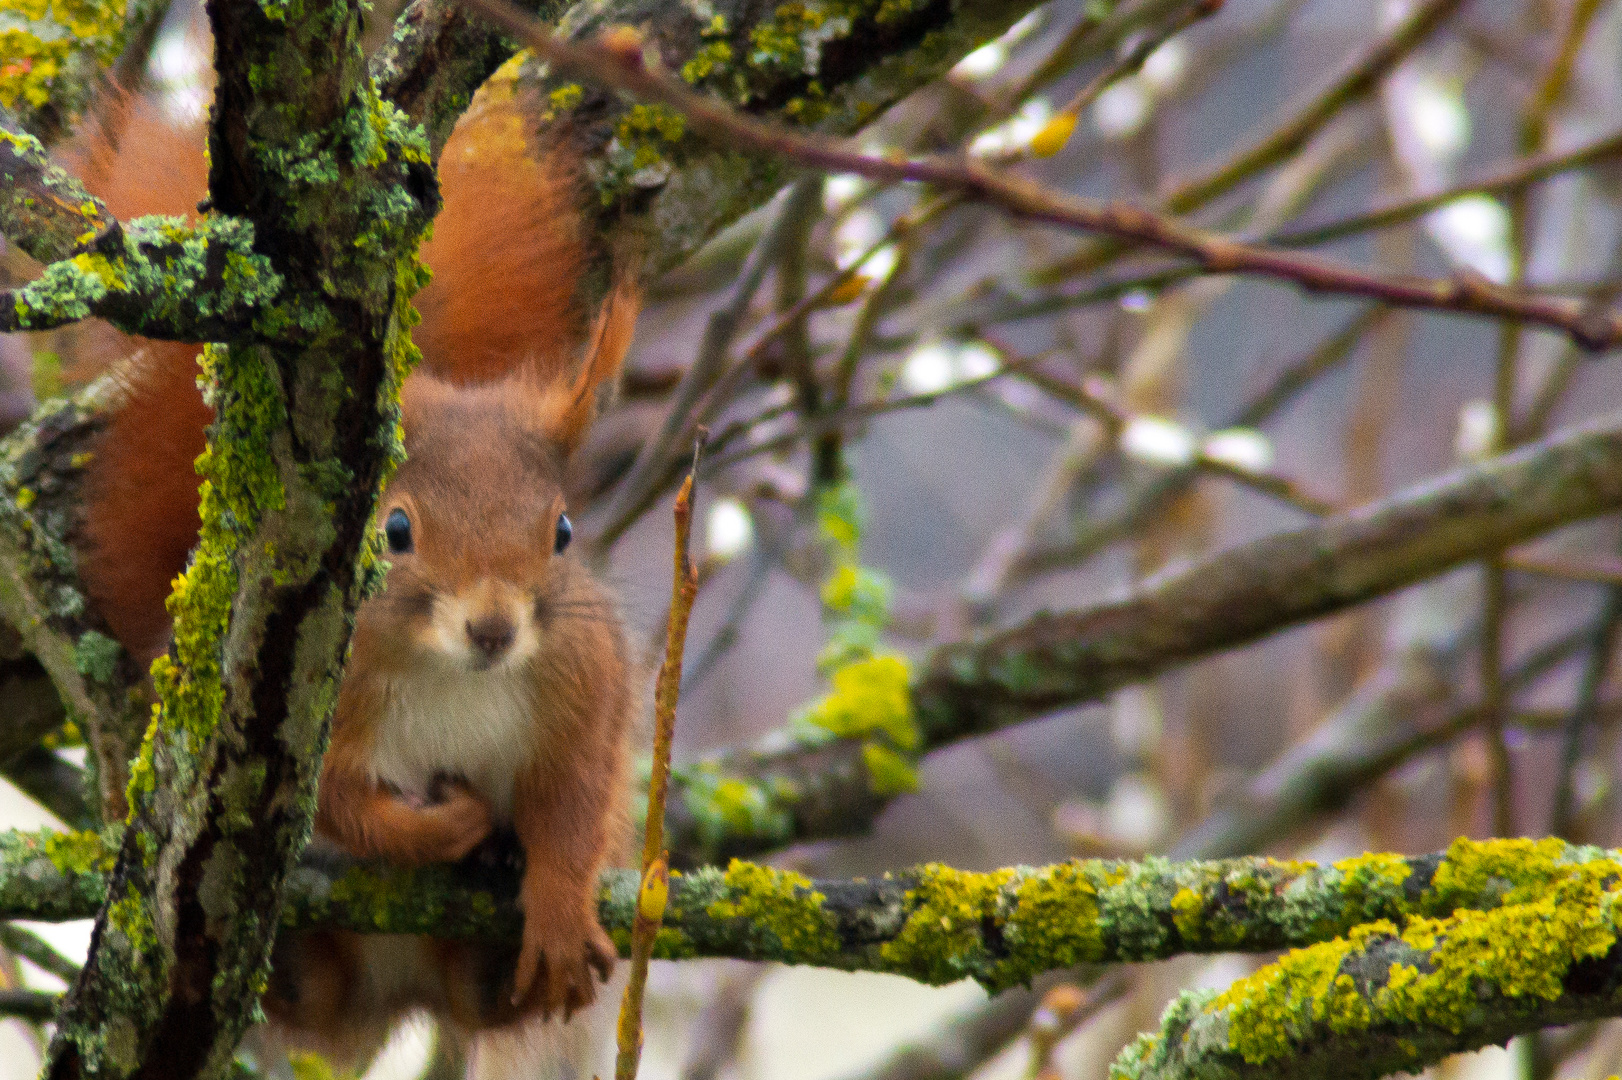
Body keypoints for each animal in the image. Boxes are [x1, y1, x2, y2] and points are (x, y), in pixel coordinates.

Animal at [58, 79, 639, 1063]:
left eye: (563, 531)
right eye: (394, 529)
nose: (494, 627)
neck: (452, 674)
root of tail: (389, 997)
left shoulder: (584, 688)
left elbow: (573, 804)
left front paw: (557, 906)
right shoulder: (290, 718)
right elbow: (341, 809)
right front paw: (445, 825)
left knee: (485, 999)